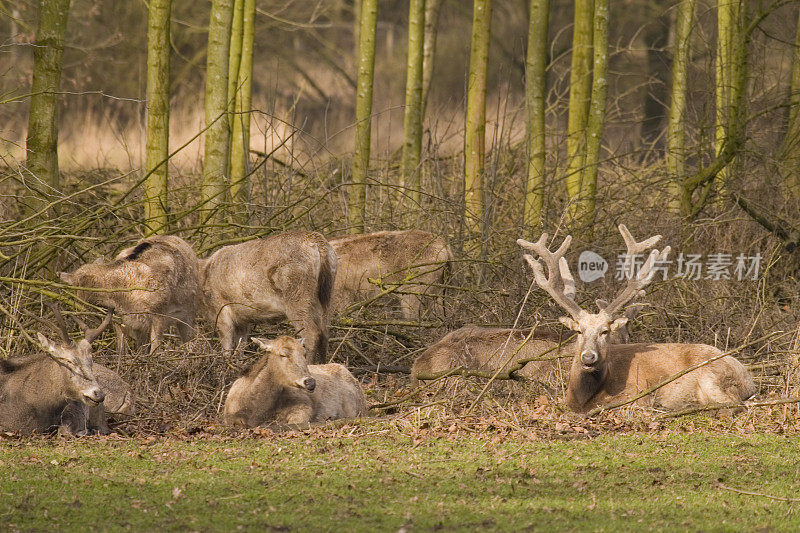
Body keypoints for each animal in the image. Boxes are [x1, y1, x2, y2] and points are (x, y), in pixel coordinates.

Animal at [57, 234, 198, 354]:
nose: (81, 305)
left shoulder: (159, 312)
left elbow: (156, 350)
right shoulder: (120, 318)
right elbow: (122, 349)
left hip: (188, 311)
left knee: (190, 341)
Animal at [202, 231, 340, 364]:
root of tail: (317, 240)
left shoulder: (220, 308)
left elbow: (227, 345)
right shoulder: (242, 318)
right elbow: (240, 345)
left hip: (297, 297)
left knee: (312, 334)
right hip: (326, 298)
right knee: (325, 333)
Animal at [520, 224, 756, 412]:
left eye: (605, 331)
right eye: (579, 331)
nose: (588, 357)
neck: (582, 398)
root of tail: (748, 379)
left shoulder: (635, 392)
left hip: (713, 375)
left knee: (733, 404)